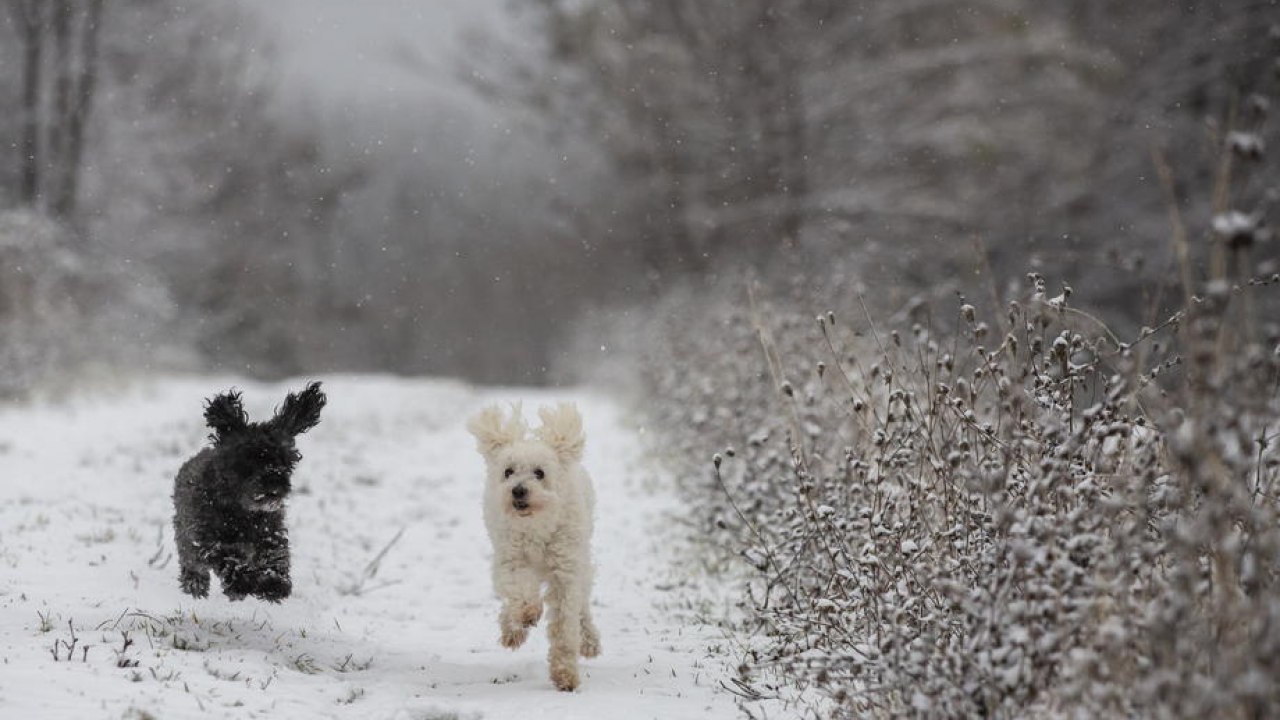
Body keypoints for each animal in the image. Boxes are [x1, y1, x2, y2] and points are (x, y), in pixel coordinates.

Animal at [172, 381, 325, 599]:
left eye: (284, 462)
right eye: (247, 460)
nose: (273, 484)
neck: (243, 512)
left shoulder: (271, 530)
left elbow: (275, 553)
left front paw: (274, 583)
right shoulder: (207, 538)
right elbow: (228, 558)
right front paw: (243, 582)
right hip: (185, 537)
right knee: (192, 562)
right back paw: (195, 585)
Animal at [465, 399, 599, 686]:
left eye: (540, 473)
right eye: (508, 472)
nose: (518, 490)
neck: (536, 523)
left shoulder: (565, 570)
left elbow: (564, 625)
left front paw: (565, 674)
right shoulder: (511, 559)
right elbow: (519, 591)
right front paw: (527, 613)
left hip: (581, 562)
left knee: (582, 605)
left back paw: (589, 640)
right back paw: (512, 628)